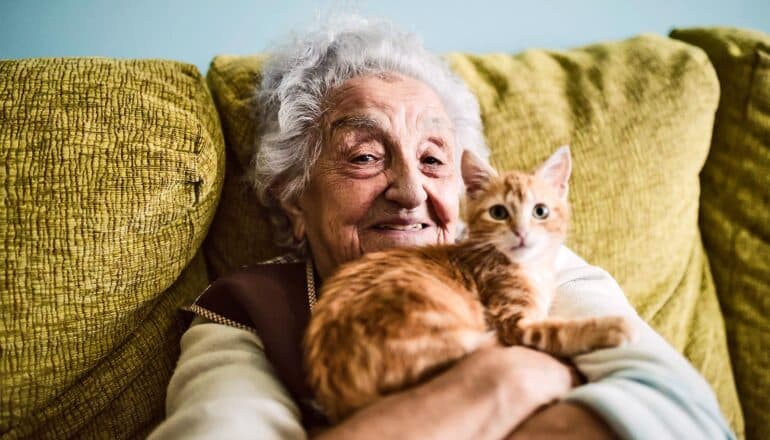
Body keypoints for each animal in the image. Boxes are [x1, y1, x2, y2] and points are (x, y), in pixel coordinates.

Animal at [304, 146, 632, 422]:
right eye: (498, 212)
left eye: (540, 211)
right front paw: (612, 327)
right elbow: (558, 331)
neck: (526, 268)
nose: (521, 233)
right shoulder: (513, 324)